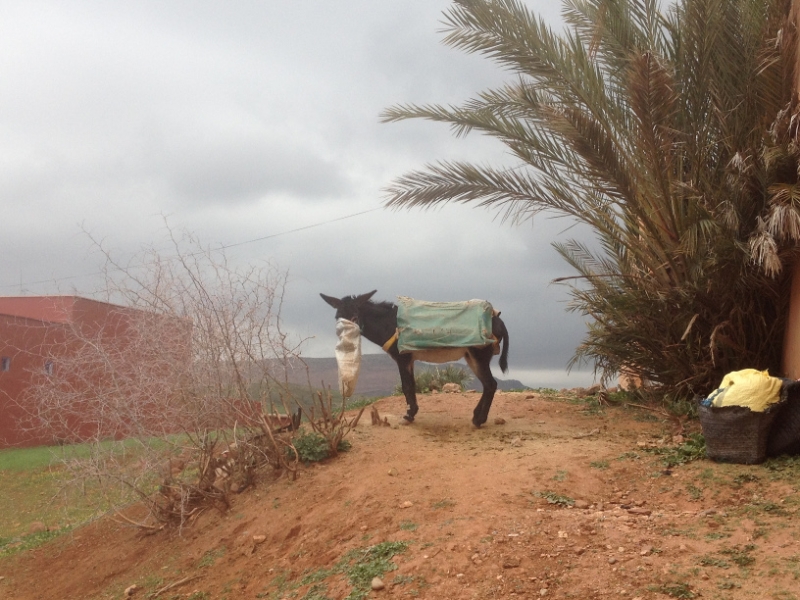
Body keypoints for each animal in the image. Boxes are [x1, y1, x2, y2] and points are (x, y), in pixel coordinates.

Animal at [320, 290, 510, 427]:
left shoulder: (402, 358)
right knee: (488, 385)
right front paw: (412, 413)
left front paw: (408, 416)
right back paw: (477, 416)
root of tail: (497, 318)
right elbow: (411, 385)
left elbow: (407, 386)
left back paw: (479, 420)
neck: (389, 323)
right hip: (471, 356)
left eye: (355, 316)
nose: (344, 341)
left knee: (491, 384)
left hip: (479, 355)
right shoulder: (409, 360)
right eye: (337, 318)